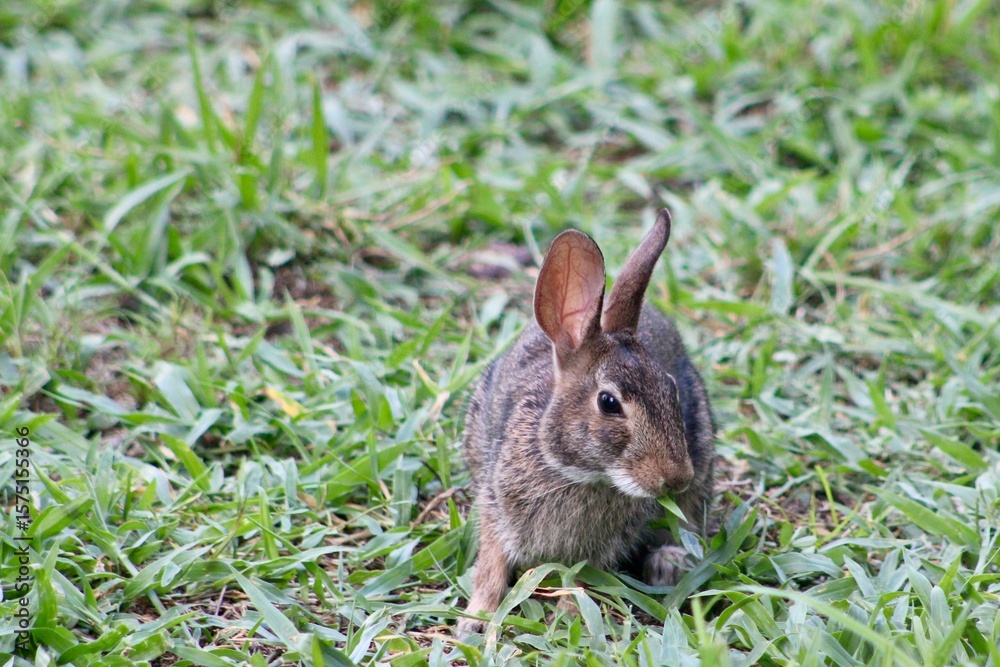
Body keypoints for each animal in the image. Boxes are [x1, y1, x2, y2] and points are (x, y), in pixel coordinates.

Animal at [458, 209, 715, 635]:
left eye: (672, 389)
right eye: (609, 403)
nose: (677, 477)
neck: (577, 472)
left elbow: (580, 578)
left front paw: (569, 619)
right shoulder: (495, 507)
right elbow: (490, 567)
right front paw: (474, 620)